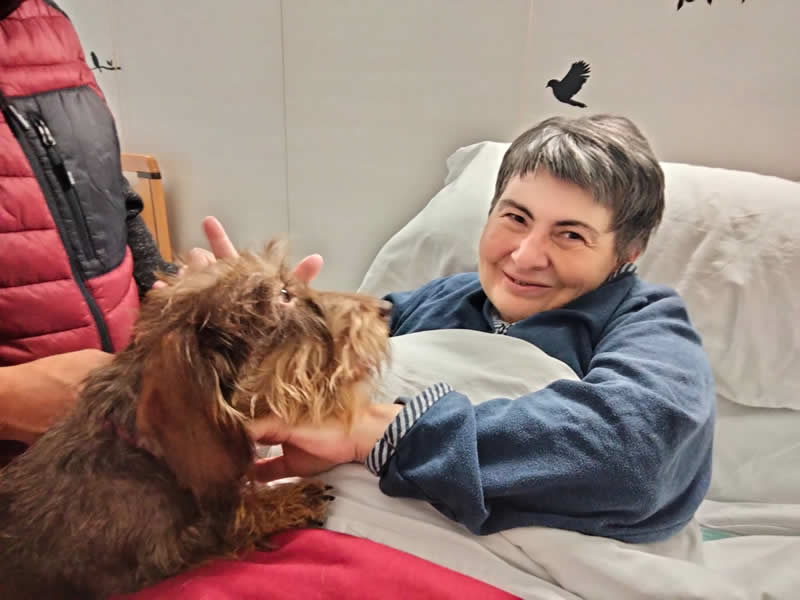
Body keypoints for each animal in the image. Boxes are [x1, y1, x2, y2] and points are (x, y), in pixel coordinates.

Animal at [0, 241, 391, 600]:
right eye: (284, 295)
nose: (386, 308)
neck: (138, 451)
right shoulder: (159, 556)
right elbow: (229, 521)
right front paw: (291, 498)